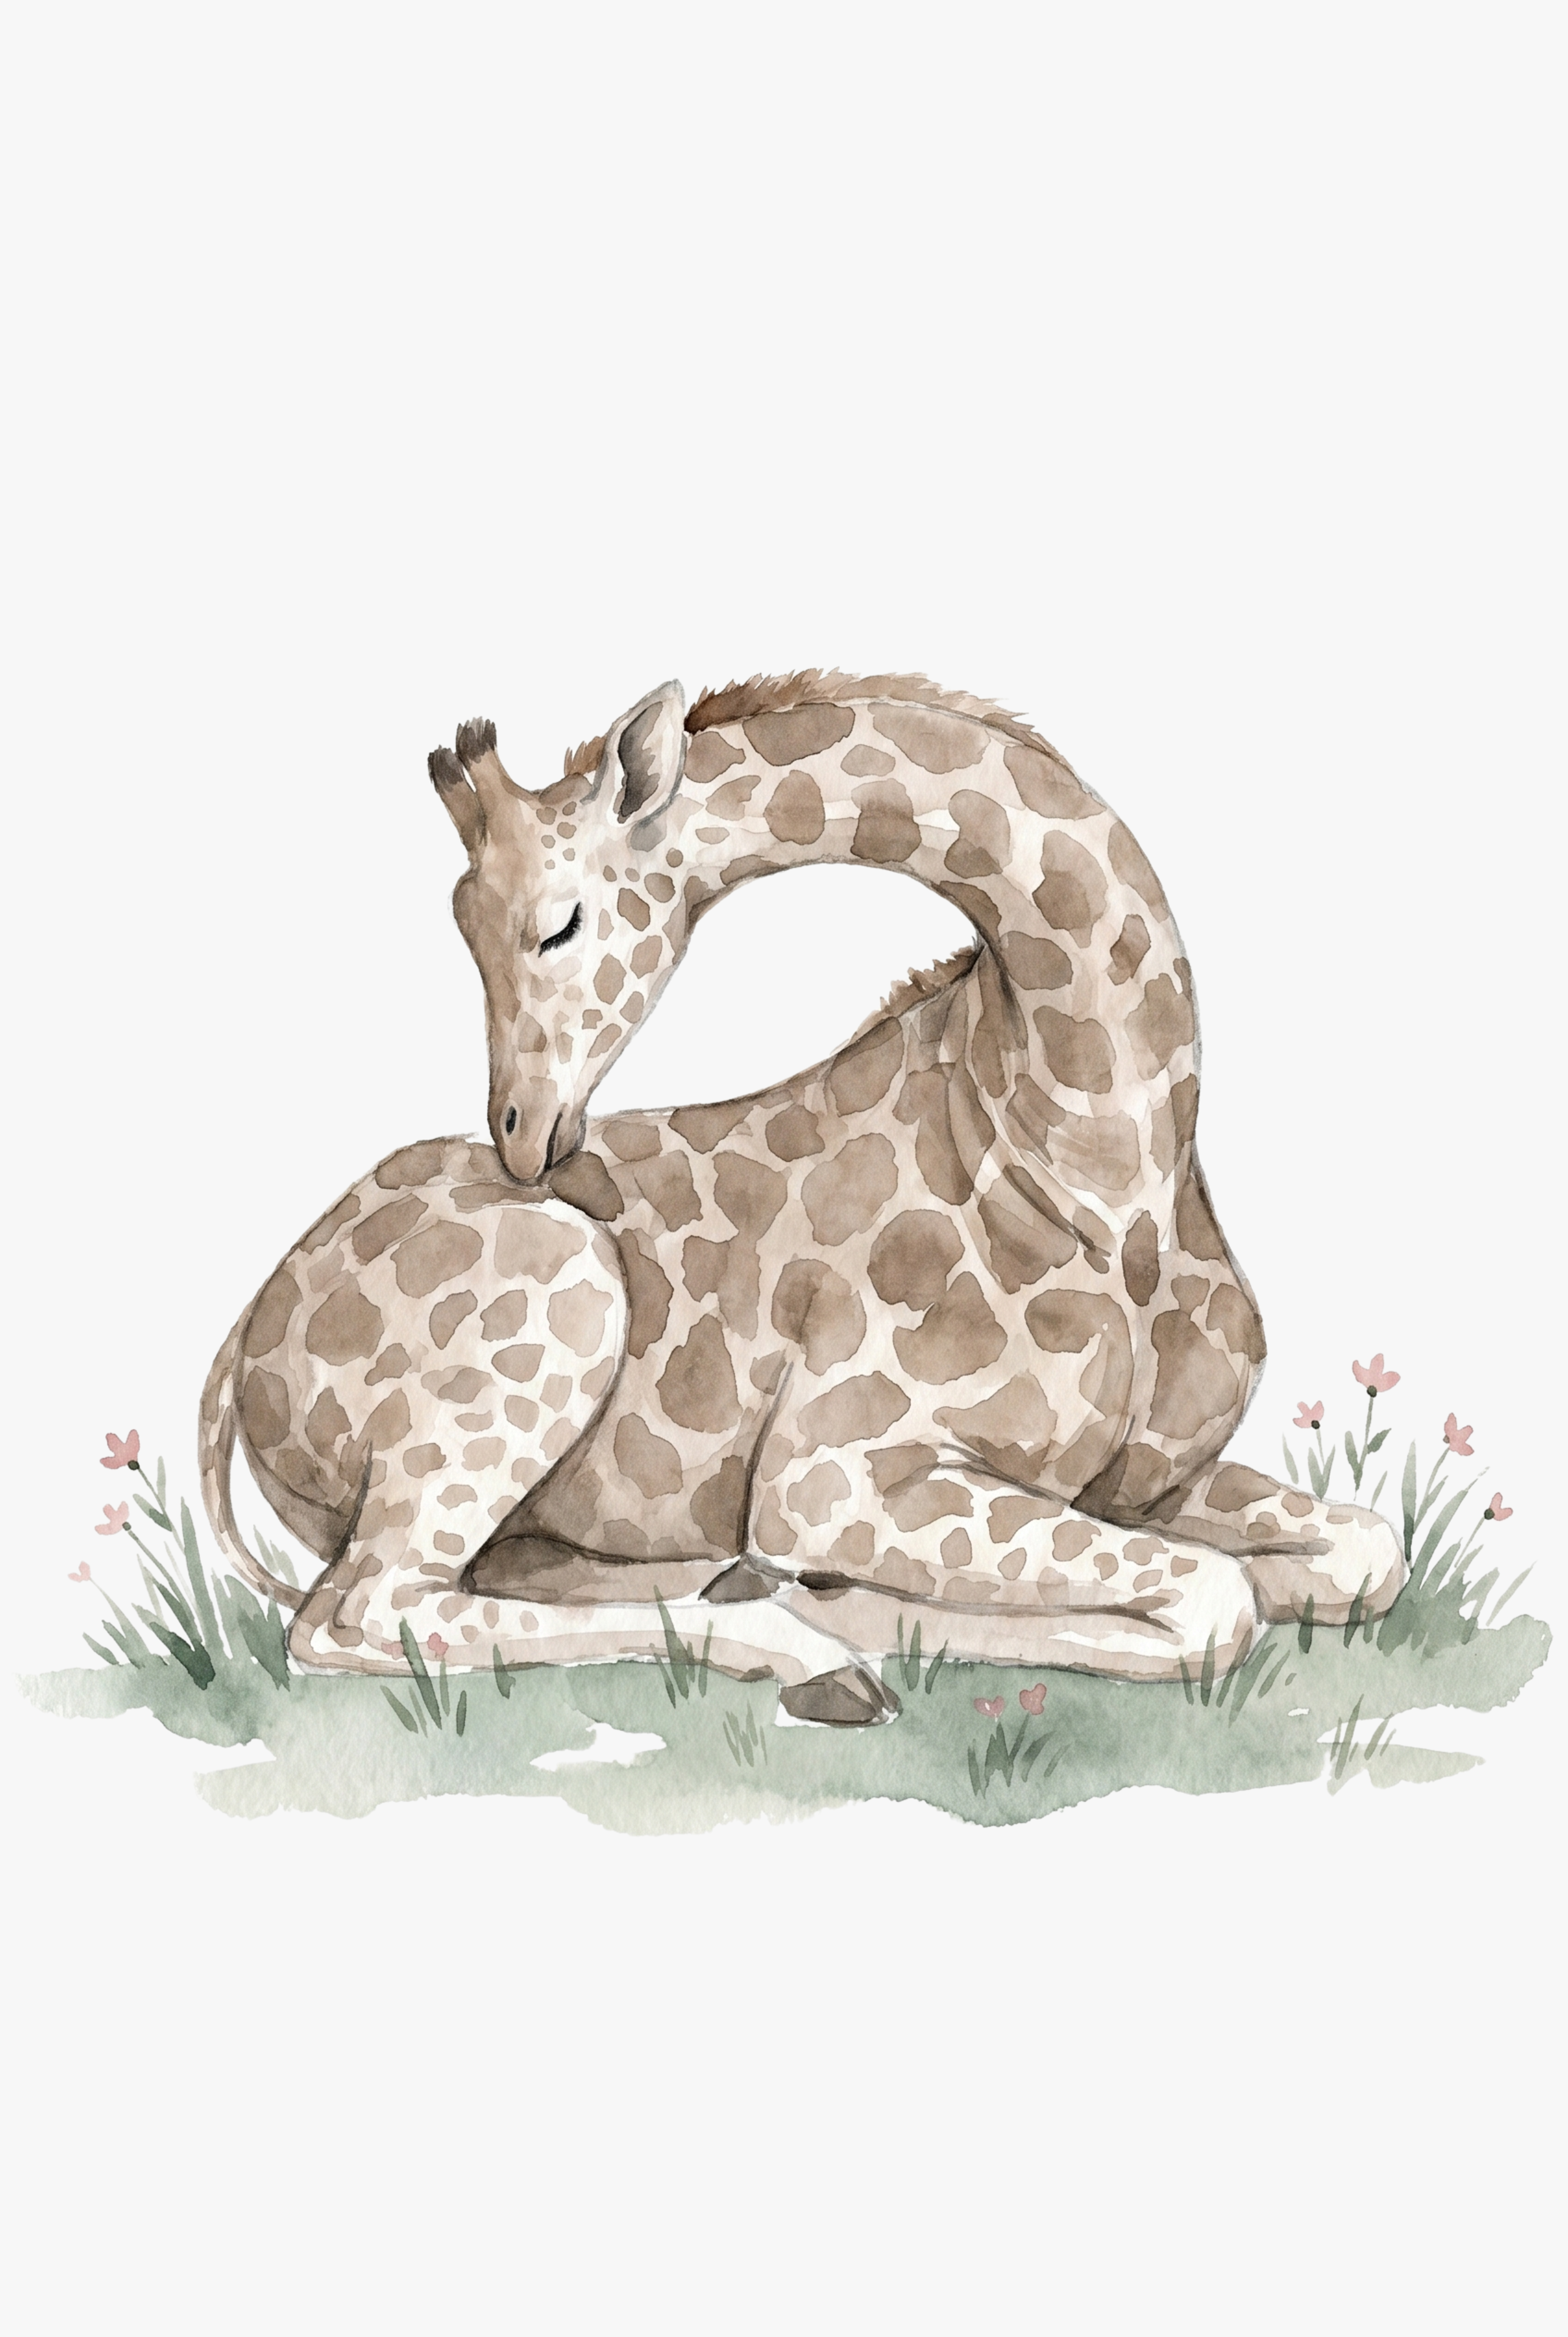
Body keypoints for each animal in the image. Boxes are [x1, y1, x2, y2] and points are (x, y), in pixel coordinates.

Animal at [200, 671, 1406, 1723]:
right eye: (463, 927)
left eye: (559, 923)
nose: (525, 1134)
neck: (1100, 1162)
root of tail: (244, 1339)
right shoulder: (832, 1480)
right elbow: (1210, 1600)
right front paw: (842, 1613)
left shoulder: (1146, 1482)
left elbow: (1362, 1553)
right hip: (559, 1310)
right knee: (360, 1614)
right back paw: (808, 1656)